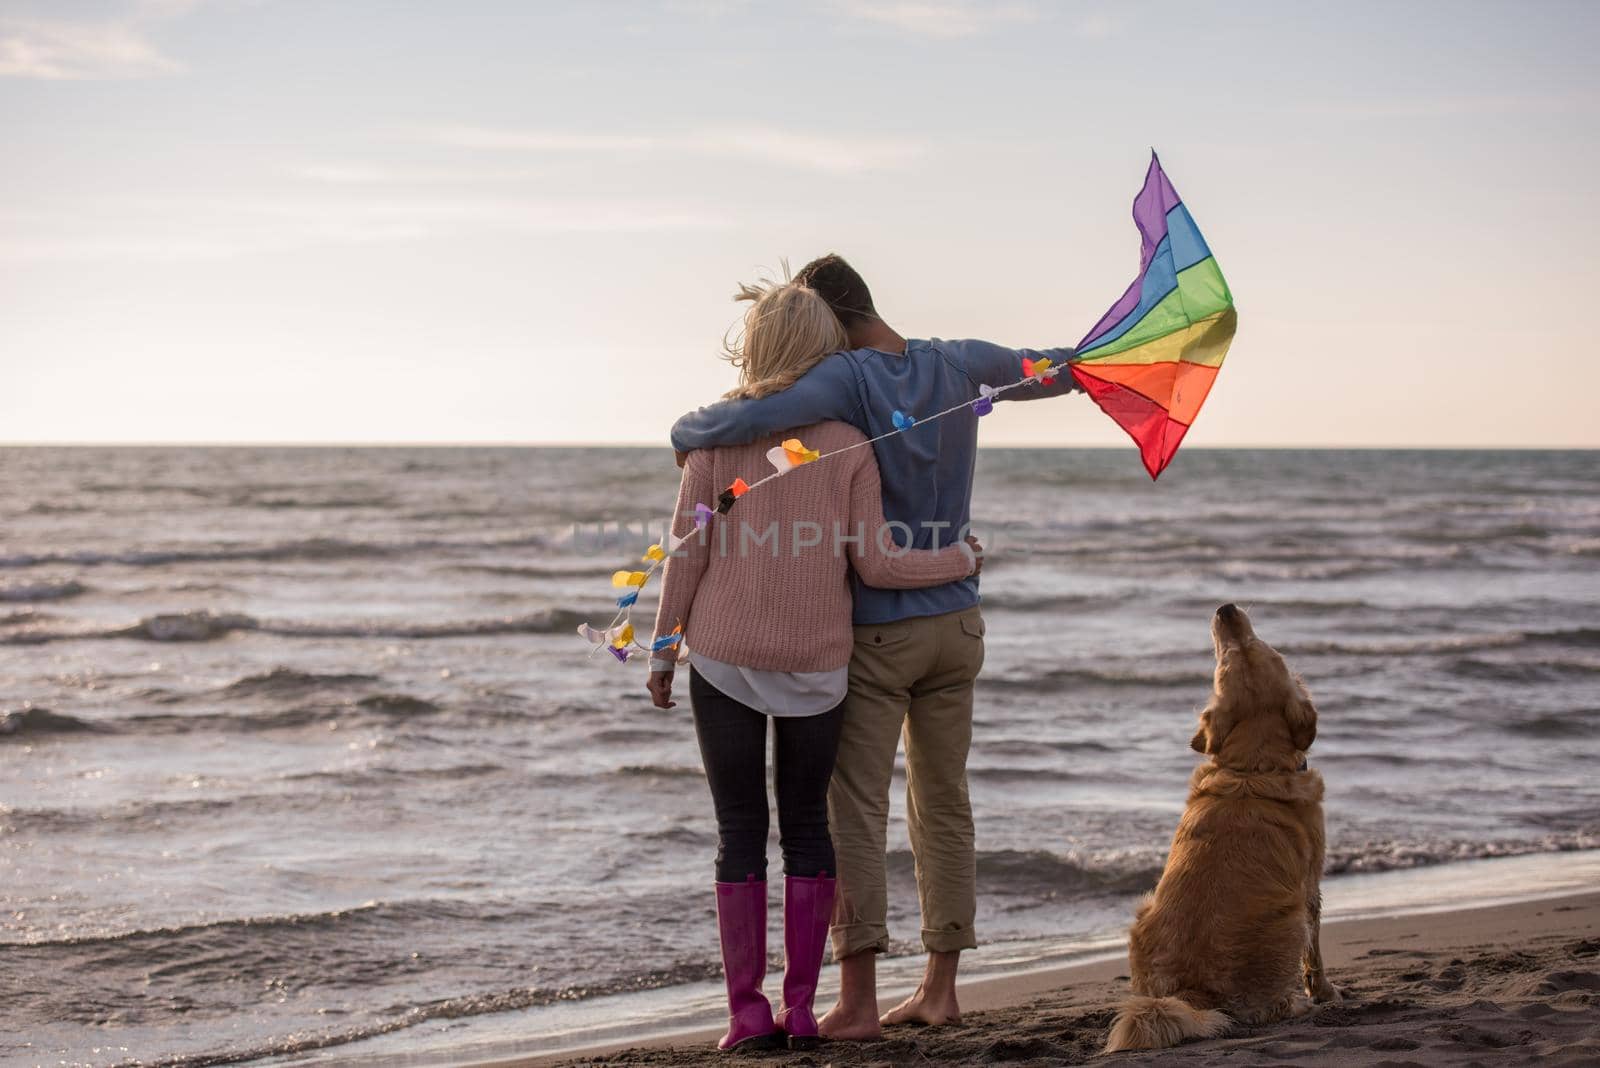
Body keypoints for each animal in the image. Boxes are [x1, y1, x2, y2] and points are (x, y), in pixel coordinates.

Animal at [1100, 601, 1337, 1048]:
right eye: (1226, 659)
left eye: (1253, 646)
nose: (1225, 609)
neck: (1252, 767)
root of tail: (1194, 992)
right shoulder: (1311, 885)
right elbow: (1315, 955)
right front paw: (1327, 993)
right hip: (1291, 916)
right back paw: (1302, 1006)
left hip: (1142, 913)